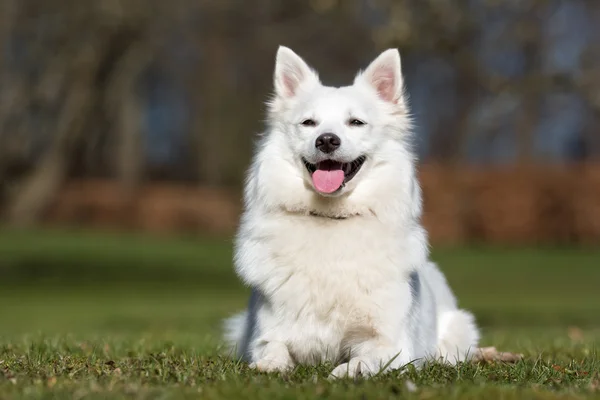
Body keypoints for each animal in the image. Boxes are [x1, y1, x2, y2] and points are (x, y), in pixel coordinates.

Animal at [223, 47, 480, 378]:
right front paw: (269, 366)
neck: (332, 218)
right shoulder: (268, 332)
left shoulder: (391, 343)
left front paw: (345, 372)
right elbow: (272, 348)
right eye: (308, 123)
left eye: (356, 122)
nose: (327, 140)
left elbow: (363, 359)